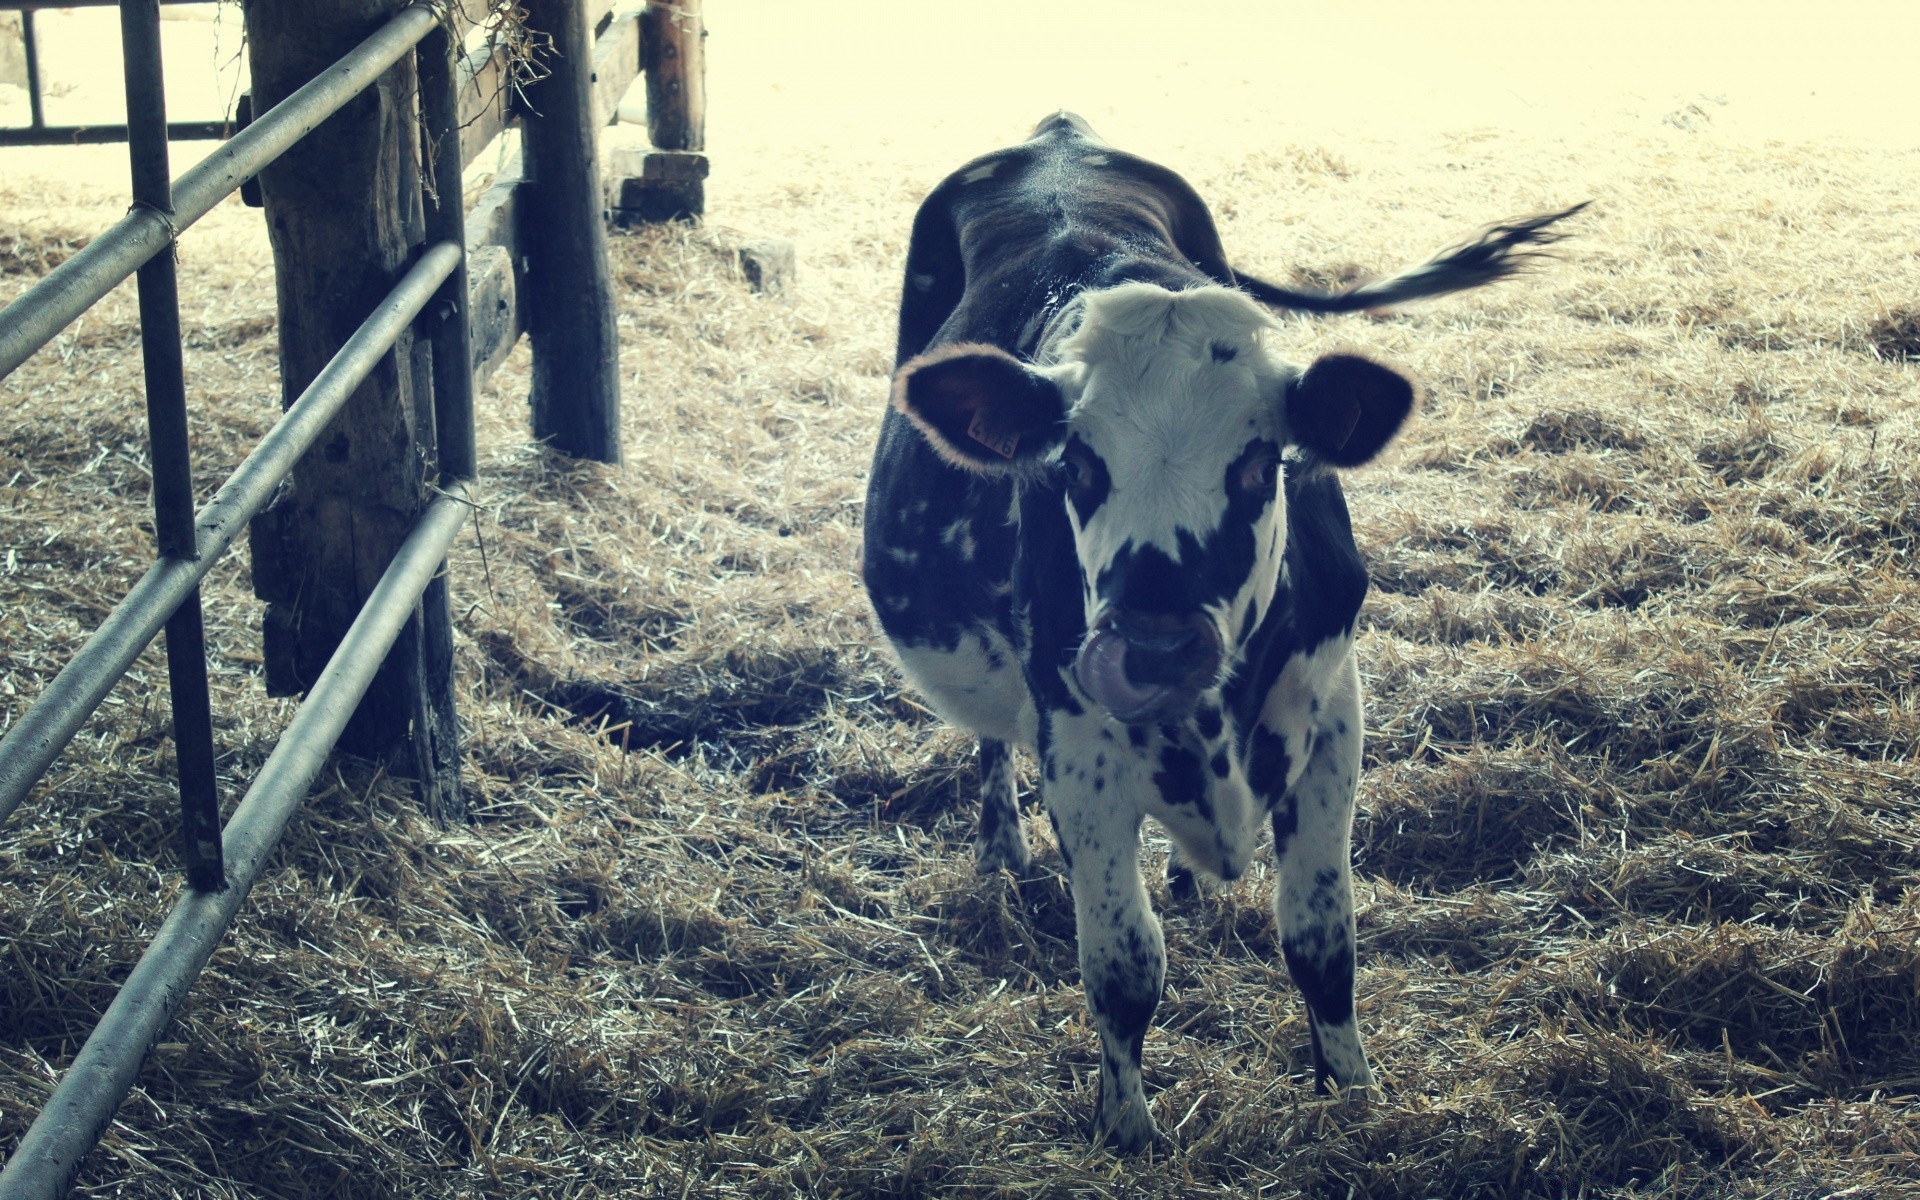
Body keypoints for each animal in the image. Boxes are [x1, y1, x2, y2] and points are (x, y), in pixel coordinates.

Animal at [864, 114, 1582, 1152]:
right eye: (1076, 466)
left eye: (1259, 464)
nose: (1153, 647)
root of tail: (1059, 136)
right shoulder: (1078, 753)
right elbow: (1123, 968)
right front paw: (1127, 1135)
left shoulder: (1333, 717)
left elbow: (1323, 941)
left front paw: (1355, 1096)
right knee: (989, 734)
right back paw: (1001, 844)